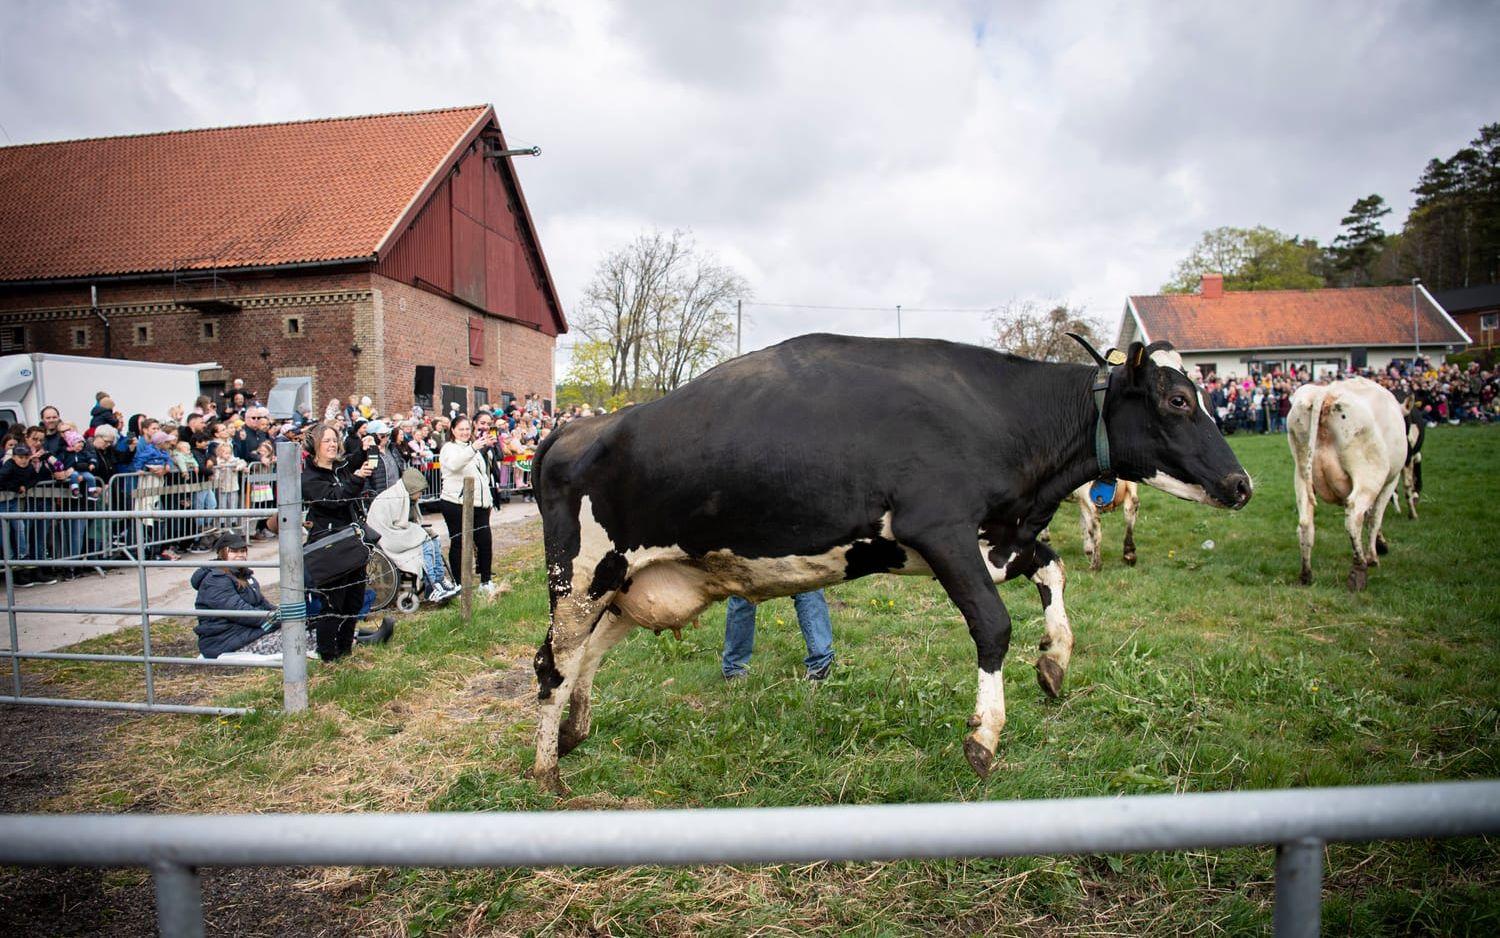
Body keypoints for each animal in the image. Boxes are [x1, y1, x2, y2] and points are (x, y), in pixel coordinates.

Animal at [531, 334, 1254, 792]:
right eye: (1178, 400)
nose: (1243, 482)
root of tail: (575, 427)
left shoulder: (997, 535)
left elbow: (1053, 570)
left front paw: (1054, 660)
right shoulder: (940, 529)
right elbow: (993, 625)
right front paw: (984, 736)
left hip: (637, 584)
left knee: (587, 657)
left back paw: (576, 730)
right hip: (582, 575)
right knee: (552, 663)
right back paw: (547, 773)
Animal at [1284, 375, 1410, 588]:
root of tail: (1324, 394)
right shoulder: (1390, 482)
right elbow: (1375, 517)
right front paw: (1376, 552)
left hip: (1301, 474)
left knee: (1305, 523)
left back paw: (1306, 574)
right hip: (1369, 475)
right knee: (1354, 516)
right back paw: (1360, 569)